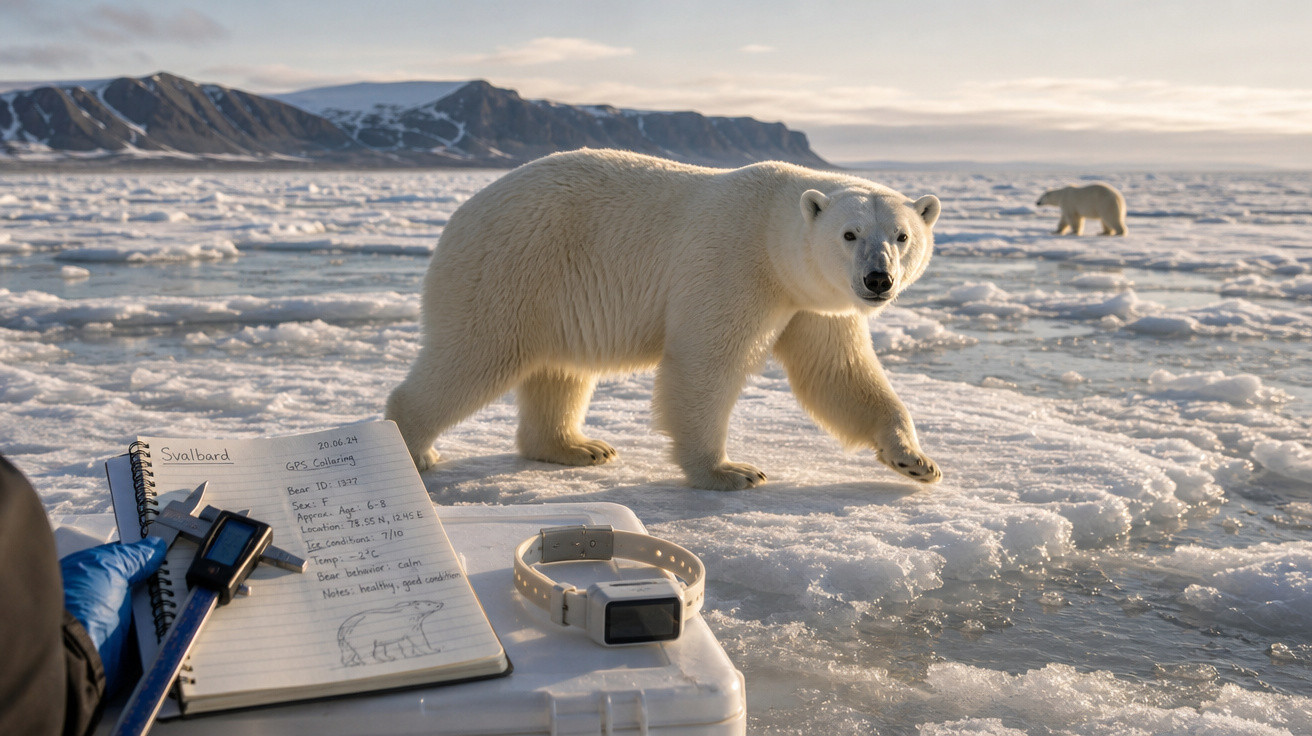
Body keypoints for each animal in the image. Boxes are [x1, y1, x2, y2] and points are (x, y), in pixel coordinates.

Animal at [385, 148, 943, 491]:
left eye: (901, 236)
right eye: (849, 234)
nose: (878, 279)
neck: (771, 230)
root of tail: (460, 216)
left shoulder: (813, 301)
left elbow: (838, 374)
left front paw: (916, 461)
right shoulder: (733, 265)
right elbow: (705, 362)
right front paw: (729, 471)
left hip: (551, 295)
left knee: (560, 371)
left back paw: (578, 446)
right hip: (510, 269)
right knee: (475, 356)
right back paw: (412, 448)